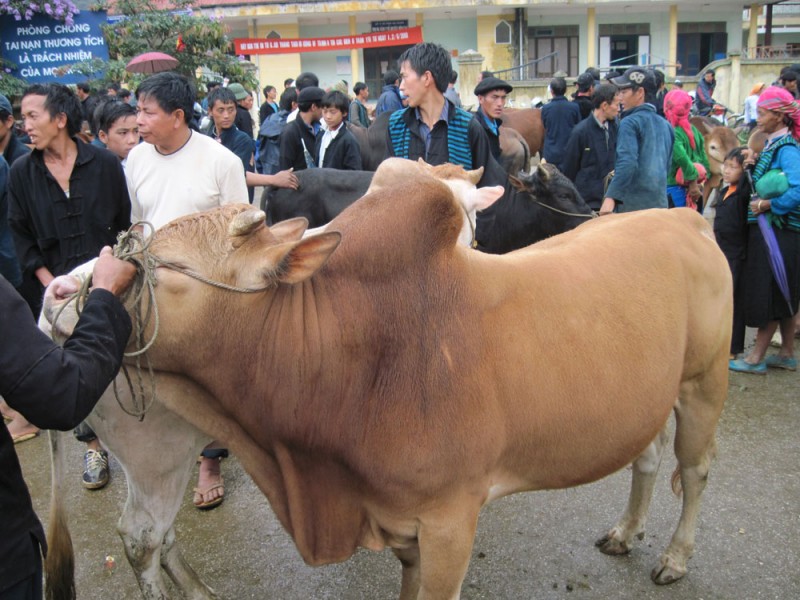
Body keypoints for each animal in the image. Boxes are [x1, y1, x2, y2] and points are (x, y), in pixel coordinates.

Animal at [43, 165, 732, 600]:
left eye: (167, 271)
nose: (58, 295)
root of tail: (688, 220)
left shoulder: (452, 523)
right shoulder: (405, 524)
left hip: (703, 382)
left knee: (696, 471)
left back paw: (674, 556)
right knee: (647, 458)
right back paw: (626, 531)